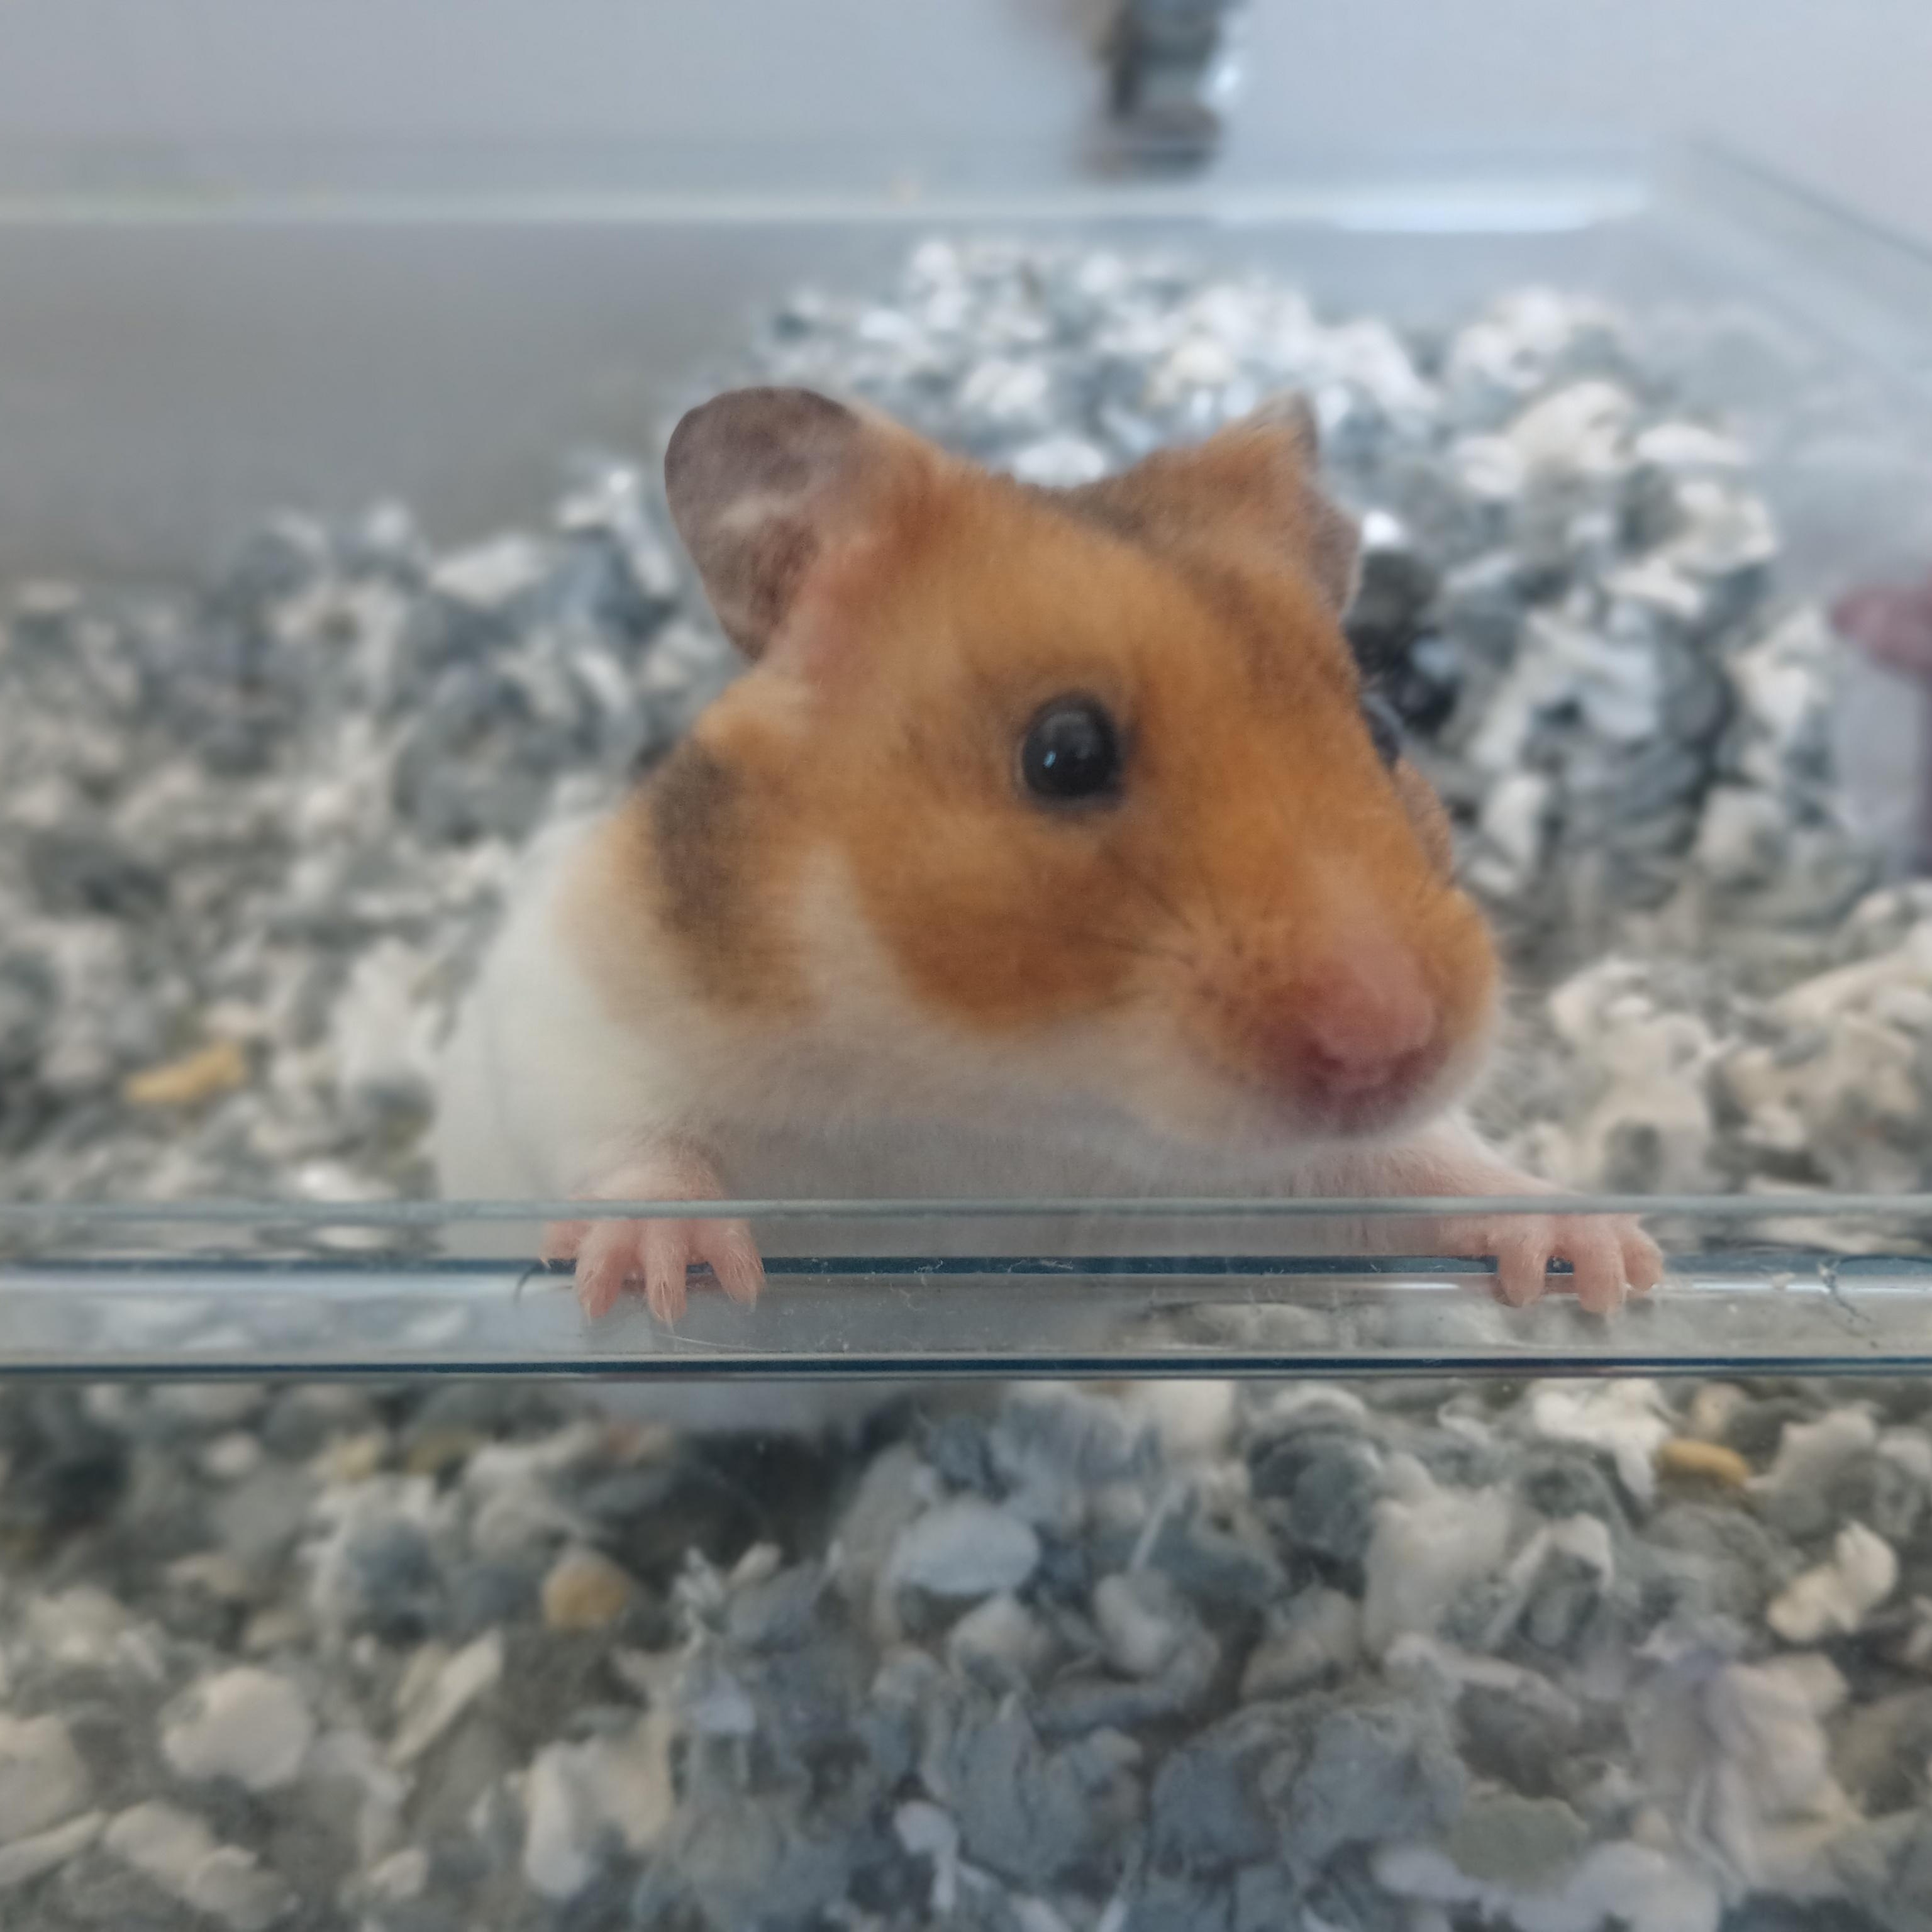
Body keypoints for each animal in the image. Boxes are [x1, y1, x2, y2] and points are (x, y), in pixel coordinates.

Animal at [435, 385, 1662, 1338]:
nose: (1398, 1048)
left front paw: (1611, 1259)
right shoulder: (574, 1024)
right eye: (1063, 753)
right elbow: (635, 1146)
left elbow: (1435, 1170)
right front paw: (671, 1278)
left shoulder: (1264, 1182)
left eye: (1387, 728)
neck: (993, 1084)